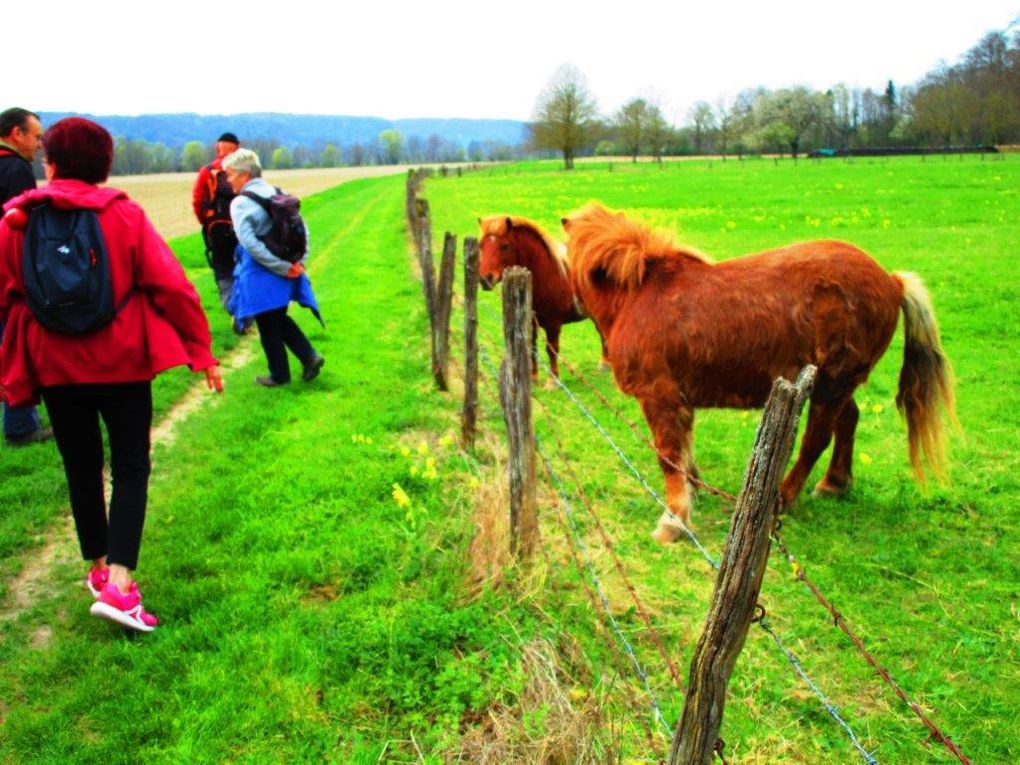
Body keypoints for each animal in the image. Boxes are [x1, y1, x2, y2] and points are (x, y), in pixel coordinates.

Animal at [477, 216, 603, 383]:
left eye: (504, 246)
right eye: (481, 245)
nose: (485, 279)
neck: (549, 273)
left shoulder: (553, 324)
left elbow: (552, 349)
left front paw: (552, 380)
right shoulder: (530, 322)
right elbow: (532, 346)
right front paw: (533, 377)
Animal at [567, 201, 954, 538]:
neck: (639, 295)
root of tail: (891, 281)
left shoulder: (660, 397)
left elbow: (669, 457)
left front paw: (674, 519)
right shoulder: (678, 402)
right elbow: (684, 452)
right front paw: (693, 490)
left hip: (832, 385)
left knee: (816, 439)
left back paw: (783, 498)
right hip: (837, 383)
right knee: (847, 421)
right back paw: (833, 484)